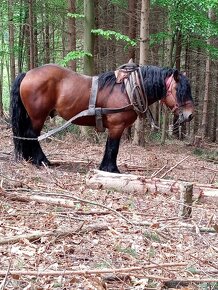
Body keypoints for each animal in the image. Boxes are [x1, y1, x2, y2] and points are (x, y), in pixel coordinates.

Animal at [10, 63, 194, 172]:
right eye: (179, 90)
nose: (190, 115)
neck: (127, 91)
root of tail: (27, 74)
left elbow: (109, 147)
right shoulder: (117, 125)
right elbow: (113, 148)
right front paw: (111, 169)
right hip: (37, 117)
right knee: (31, 136)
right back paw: (41, 161)